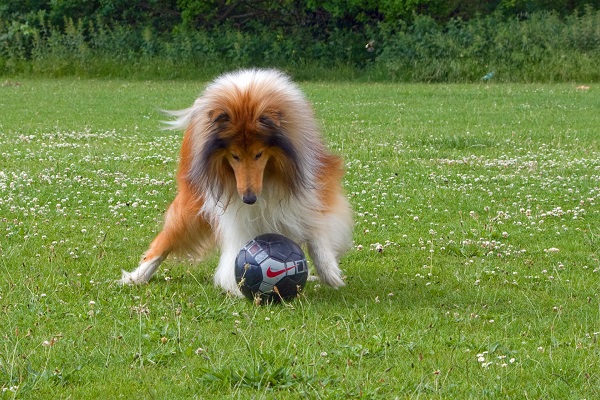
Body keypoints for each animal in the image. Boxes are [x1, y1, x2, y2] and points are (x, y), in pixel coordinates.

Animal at [120, 68, 354, 294]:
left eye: (259, 154)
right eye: (234, 155)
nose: (249, 199)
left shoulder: (312, 183)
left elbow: (315, 225)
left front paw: (328, 270)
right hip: (193, 199)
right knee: (167, 238)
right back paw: (138, 275)